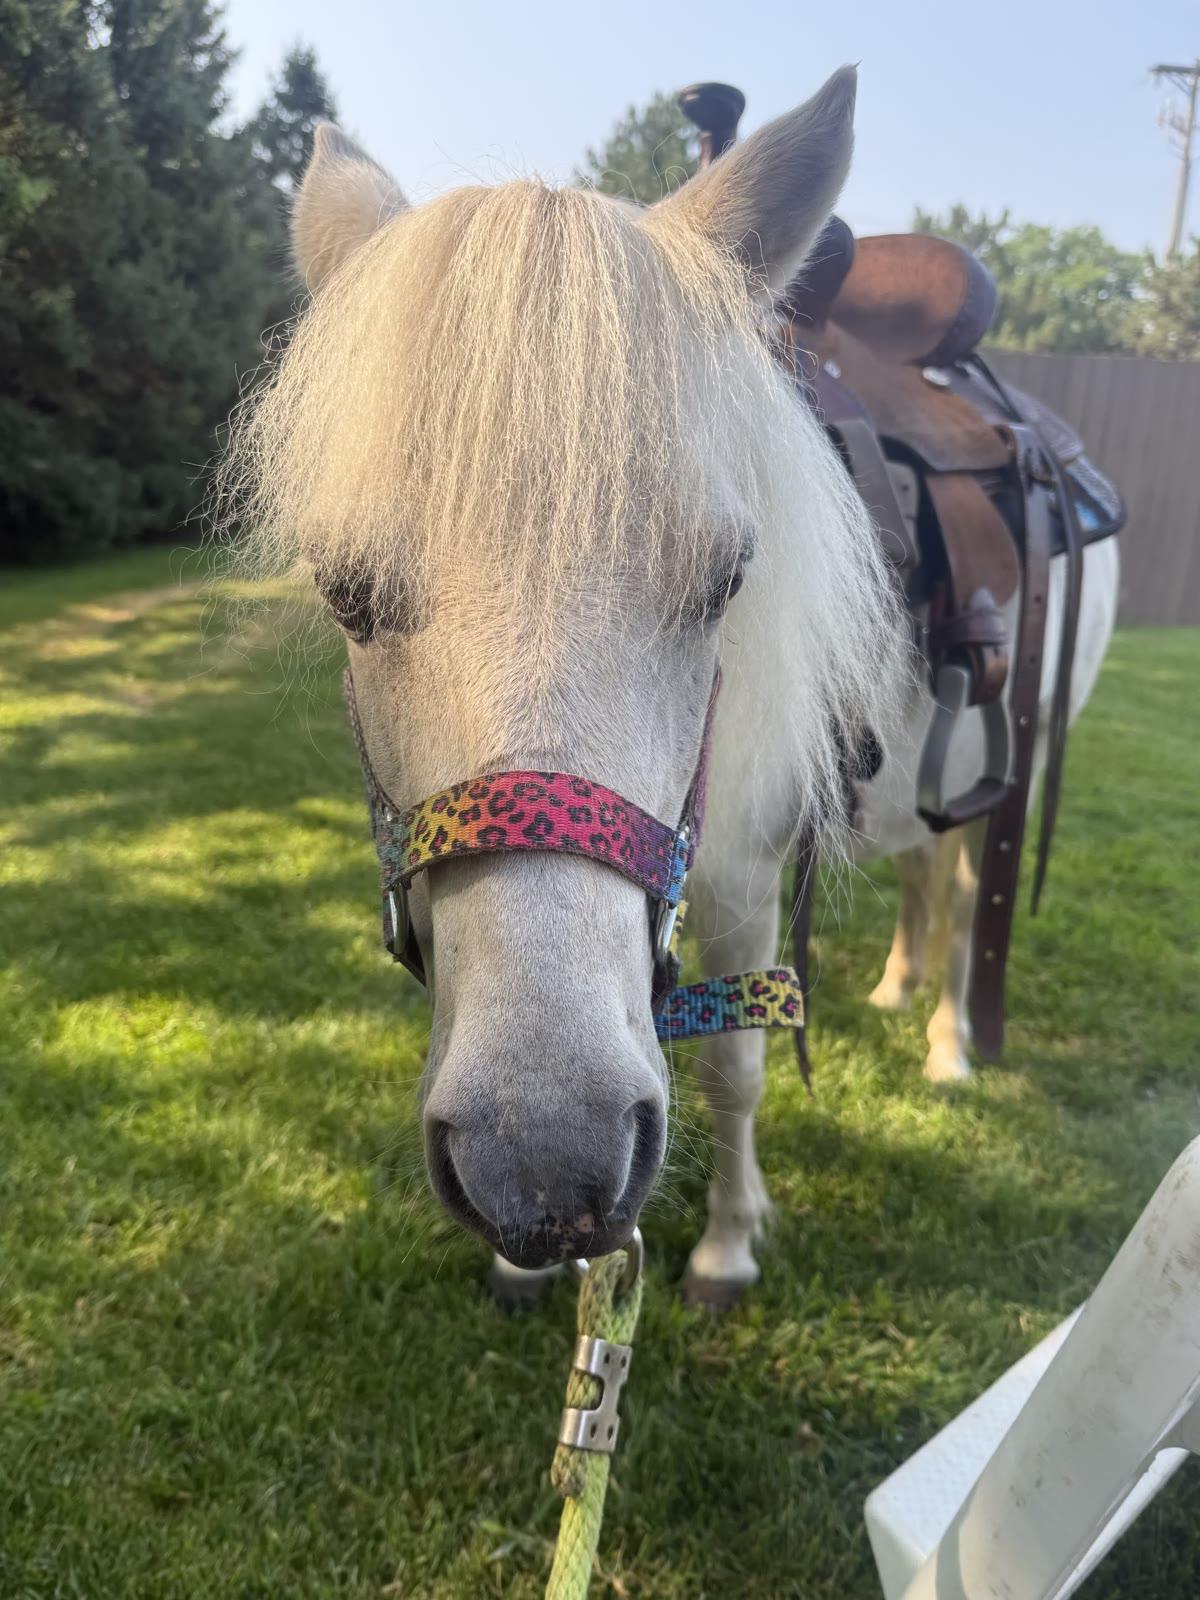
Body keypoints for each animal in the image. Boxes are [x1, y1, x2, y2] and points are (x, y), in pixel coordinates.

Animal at [217, 65, 1117, 1306]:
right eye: (345, 593)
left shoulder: (741, 878)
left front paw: (729, 1242)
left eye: (728, 581)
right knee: (925, 865)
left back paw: (945, 1043)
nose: (542, 1165)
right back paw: (896, 987)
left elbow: (737, 1065)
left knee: (972, 874)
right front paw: (531, 1263)